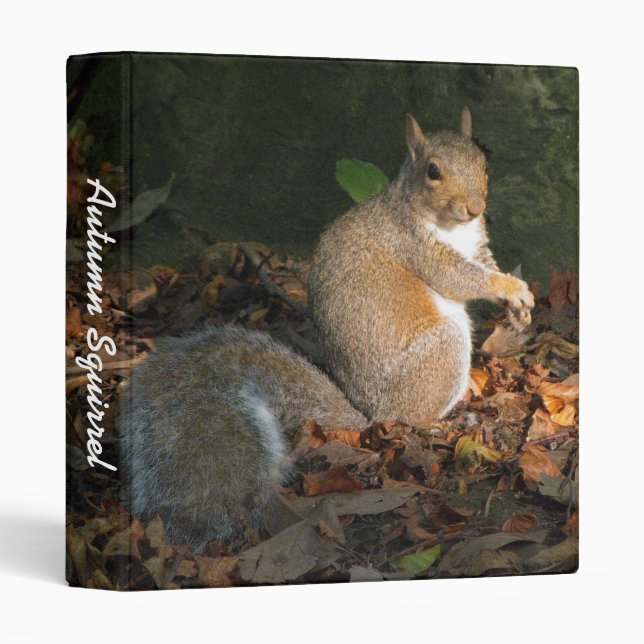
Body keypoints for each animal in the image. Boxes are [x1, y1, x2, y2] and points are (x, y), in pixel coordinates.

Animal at [118, 108, 534, 548]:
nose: (475, 207)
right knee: (415, 416)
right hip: (439, 354)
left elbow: (484, 265)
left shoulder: (477, 245)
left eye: (484, 161)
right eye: (432, 171)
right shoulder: (416, 246)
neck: (452, 226)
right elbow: (459, 278)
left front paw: (517, 304)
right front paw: (509, 288)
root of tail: (371, 415)